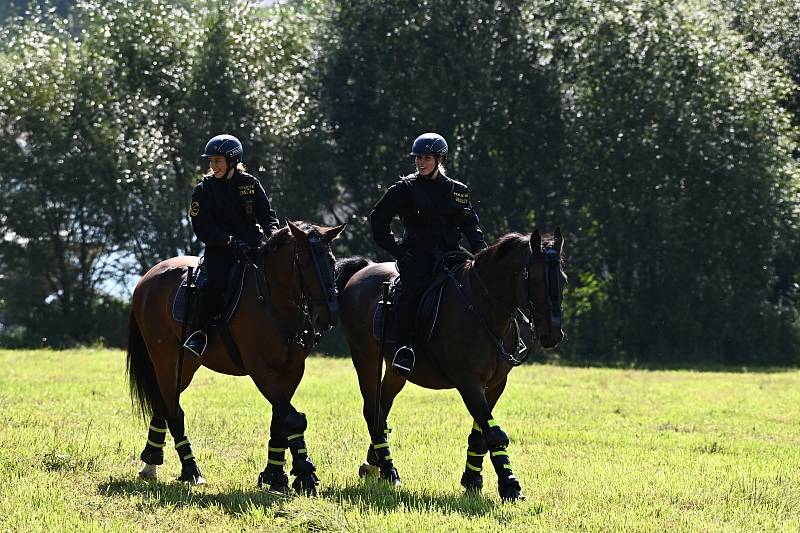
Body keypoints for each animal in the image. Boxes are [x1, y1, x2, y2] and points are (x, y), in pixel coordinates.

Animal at [126, 218, 346, 492]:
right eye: (304, 263)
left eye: (331, 260)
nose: (330, 315)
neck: (271, 299)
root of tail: (146, 279)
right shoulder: (260, 369)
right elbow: (293, 418)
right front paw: (304, 473)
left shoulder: (292, 371)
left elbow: (280, 419)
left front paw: (275, 475)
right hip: (165, 361)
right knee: (173, 411)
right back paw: (190, 470)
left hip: (184, 367)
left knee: (164, 405)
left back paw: (151, 464)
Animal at [334, 228, 564, 498]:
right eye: (536, 281)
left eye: (563, 279)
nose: (553, 334)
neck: (483, 310)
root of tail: (364, 268)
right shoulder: (469, 382)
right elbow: (494, 433)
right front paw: (509, 484)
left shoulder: (495, 385)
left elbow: (481, 434)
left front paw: (473, 479)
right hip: (366, 357)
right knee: (372, 411)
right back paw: (389, 470)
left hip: (395, 370)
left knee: (383, 406)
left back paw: (374, 463)